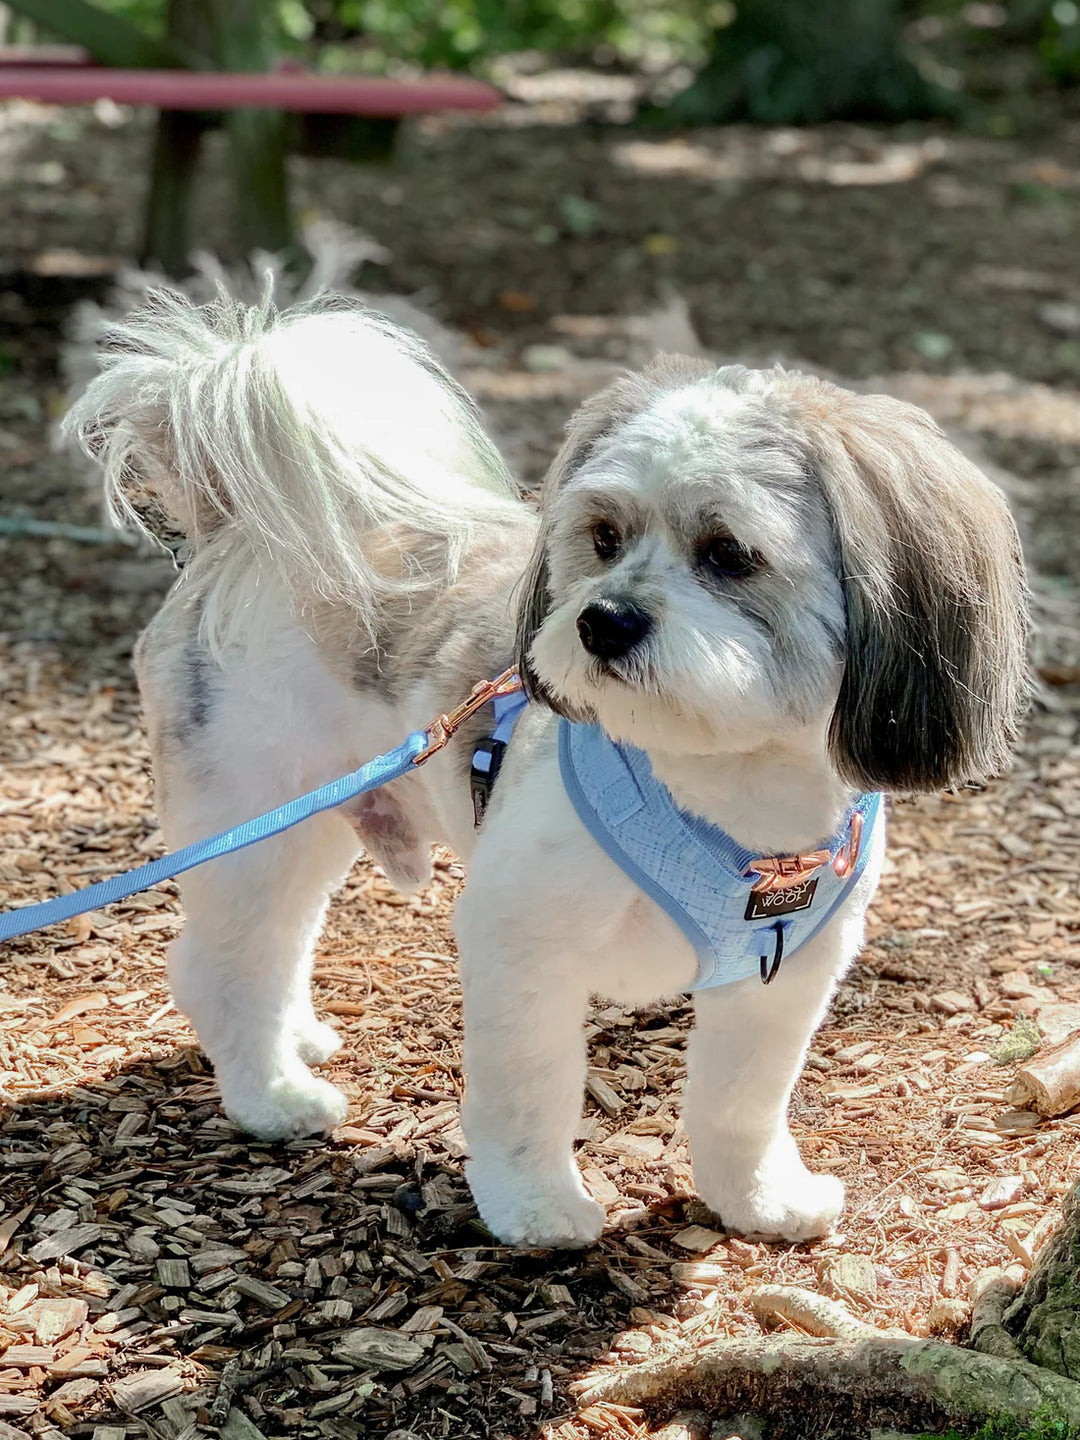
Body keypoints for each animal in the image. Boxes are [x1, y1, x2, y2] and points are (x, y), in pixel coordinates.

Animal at [67, 292, 1031, 1249]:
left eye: (728, 553)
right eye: (603, 538)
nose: (604, 620)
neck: (721, 782)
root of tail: (240, 535)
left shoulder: (784, 974)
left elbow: (743, 1104)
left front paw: (760, 1199)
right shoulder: (520, 943)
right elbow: (530, 1090)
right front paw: (535, 1208)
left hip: (313, 821)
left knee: (279, 944)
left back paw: (293, 1036)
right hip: (253, 820)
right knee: (227, 963)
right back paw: (271, 1094)